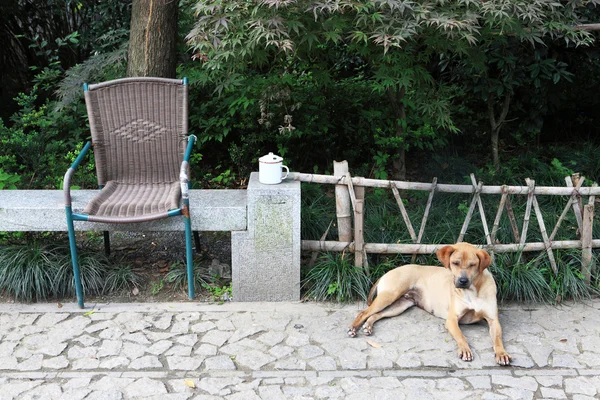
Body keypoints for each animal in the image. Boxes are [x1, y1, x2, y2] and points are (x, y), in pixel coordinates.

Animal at [350, 241, 512, 366]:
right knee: (364, 312)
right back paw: (353, 328)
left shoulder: (493, 320)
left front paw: (501, 353)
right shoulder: (452, 320)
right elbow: (461, 336)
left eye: (473, 265)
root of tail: (388, 272)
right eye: (455, 263)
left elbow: (498, 339)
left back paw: (368, 326)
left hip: (399, 306)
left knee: (376, 314)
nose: (462, 281)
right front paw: (465, 350)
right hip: (389, 296)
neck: (473, 291)